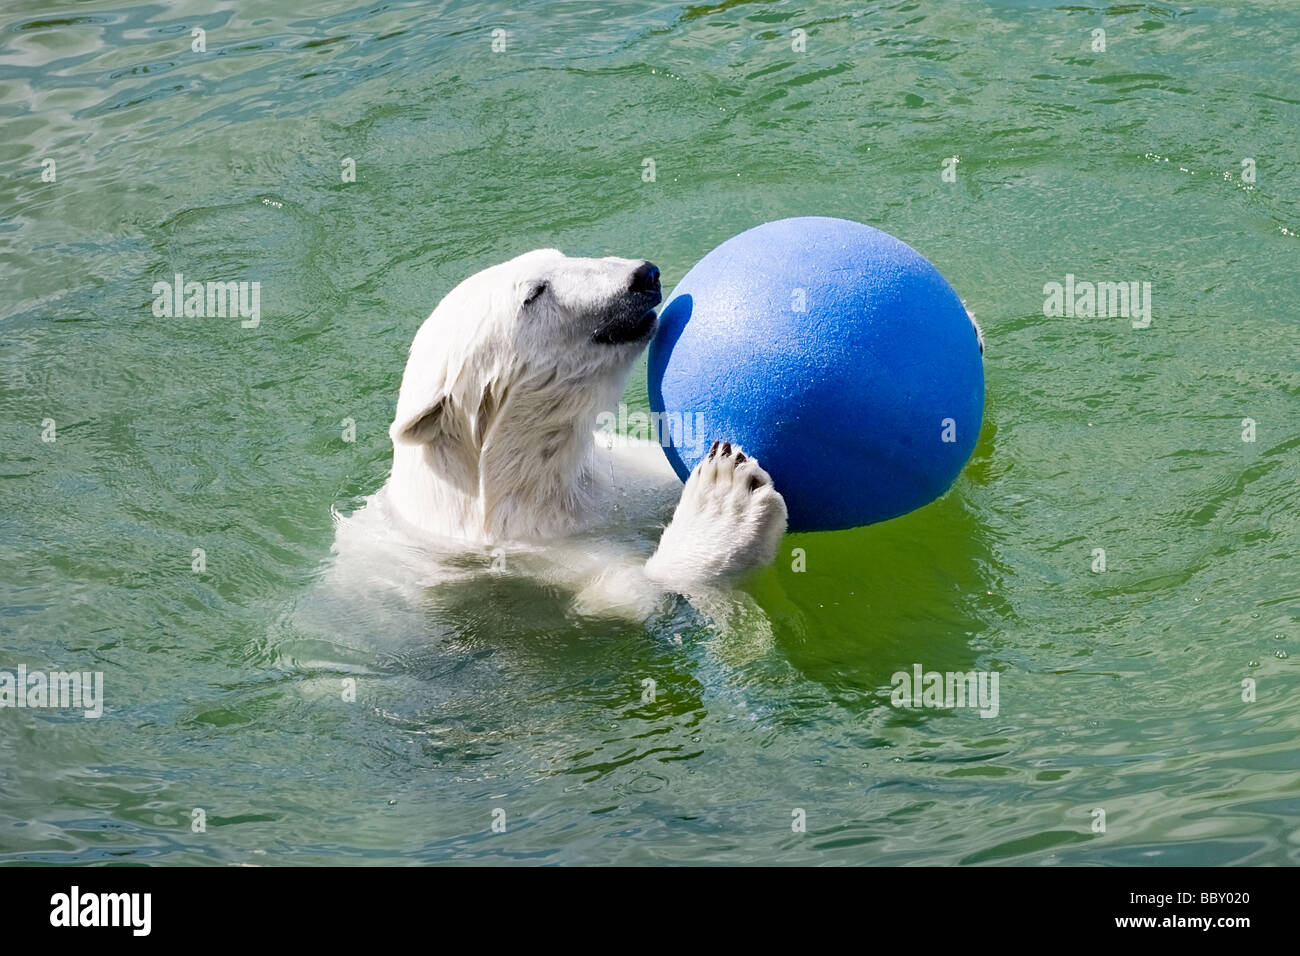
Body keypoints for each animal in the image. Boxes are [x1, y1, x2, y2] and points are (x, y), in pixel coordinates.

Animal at [330, 248, 785, 621]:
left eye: (558, 256)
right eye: (534, 292)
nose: (643, 275)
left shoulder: (618, 482)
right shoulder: (532, 553)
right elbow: (628, 597)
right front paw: (727, 495)